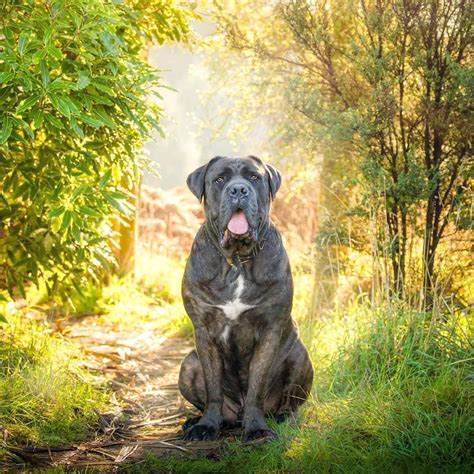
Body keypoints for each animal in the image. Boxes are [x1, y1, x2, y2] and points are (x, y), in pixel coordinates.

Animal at [177, 156, 312, 440]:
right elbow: (213, 388)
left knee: (290, 401)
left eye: (254, 177)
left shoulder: (270, 330)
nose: (238, 189)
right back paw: (196, 421)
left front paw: (257, 429)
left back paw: (284, 417)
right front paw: (207, 425)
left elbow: (256, 387)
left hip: (299, 356)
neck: (237, 260)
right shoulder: (204, 331)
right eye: (219, 179)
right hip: (188, 364)